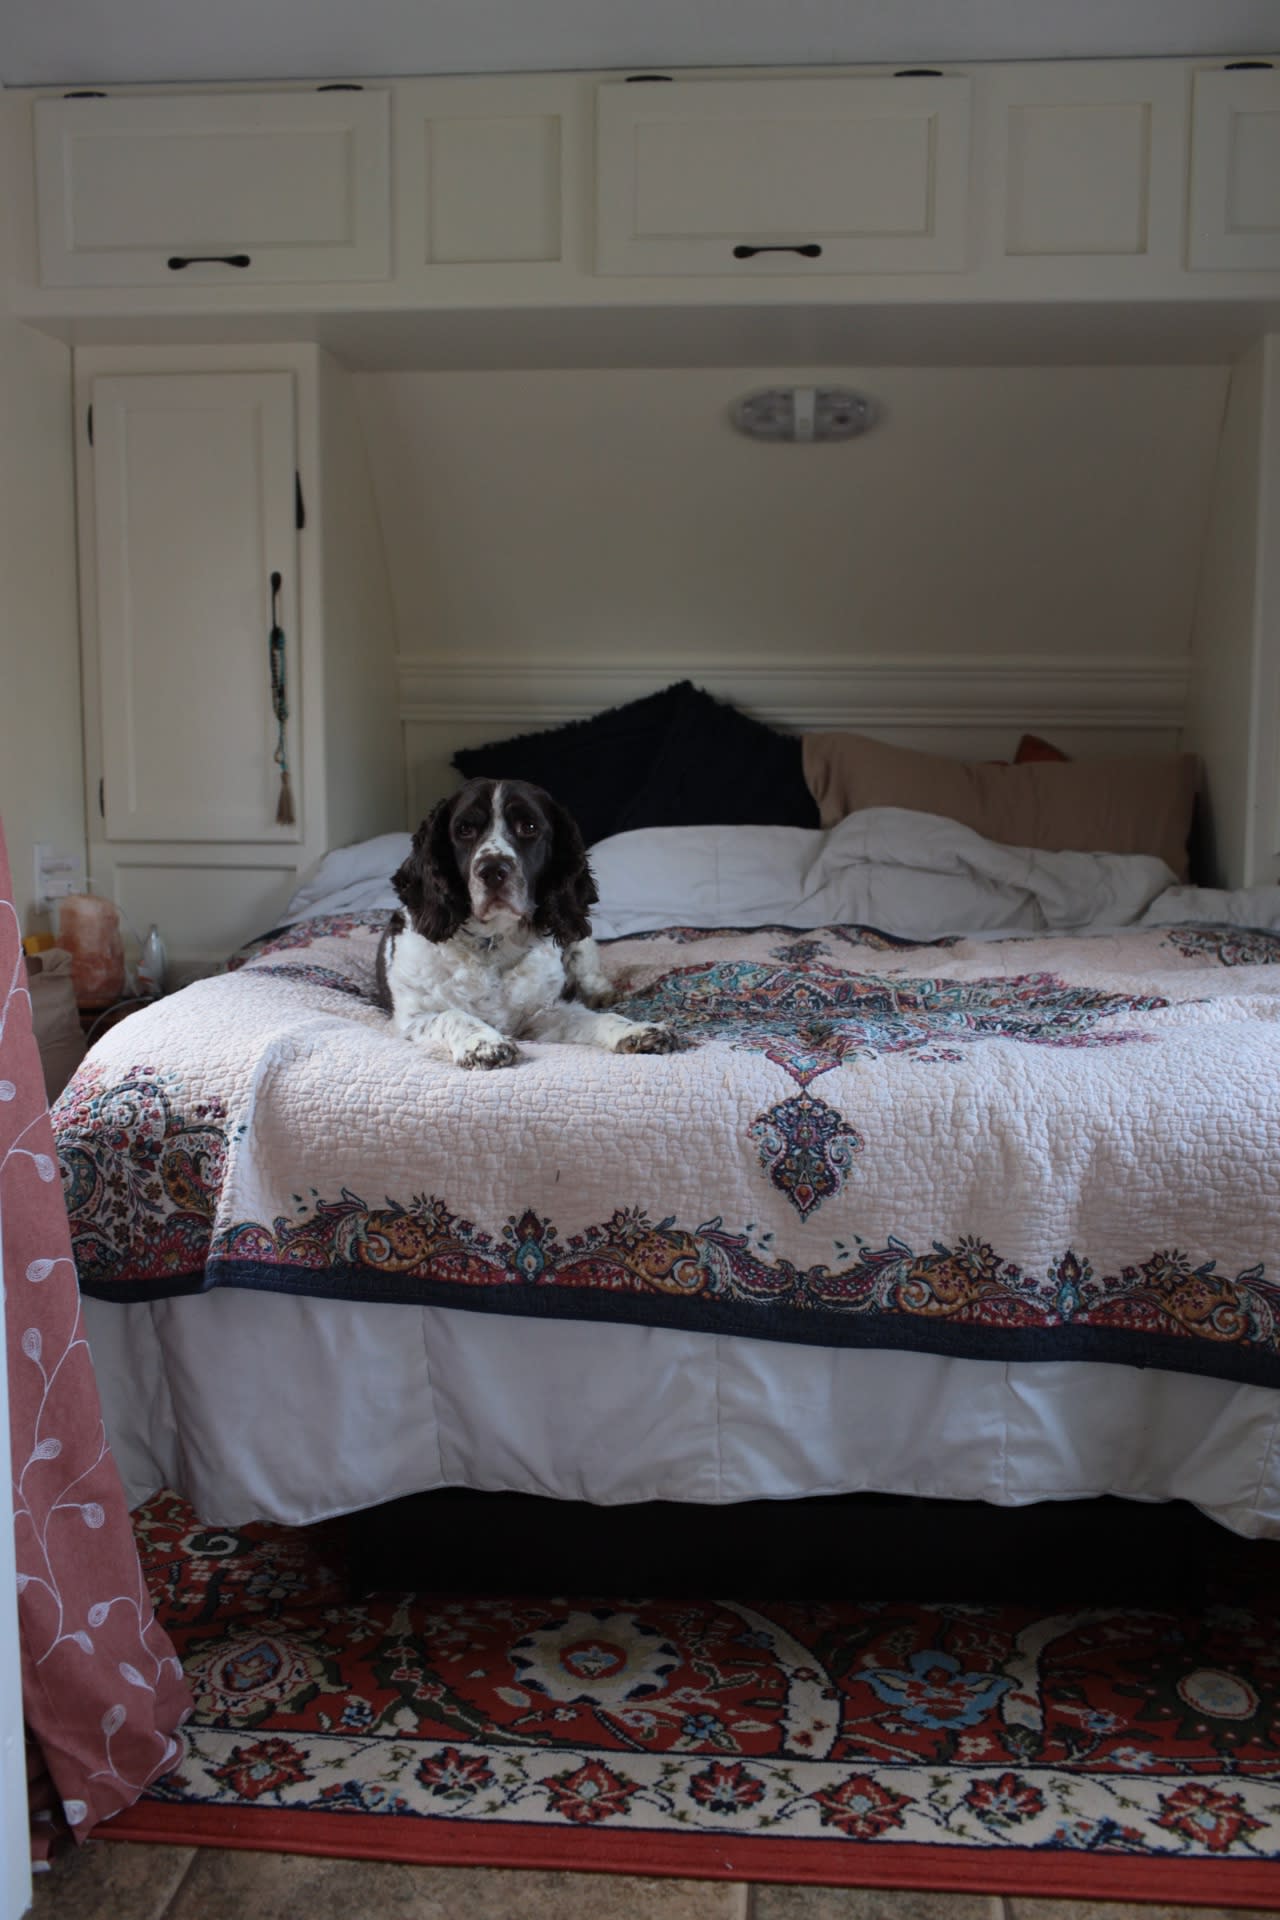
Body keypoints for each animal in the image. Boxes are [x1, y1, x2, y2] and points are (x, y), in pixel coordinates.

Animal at [372, 783, 679, 1082]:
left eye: (529, 827)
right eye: (464, 829)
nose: (493, 870)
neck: (492, 943)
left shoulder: (541, 1015)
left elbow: (595, 1018)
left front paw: (637, 1030)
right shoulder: (411, 1018)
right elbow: (453, 1015)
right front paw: (483, 1043)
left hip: (578, 938)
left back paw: (603, 994)